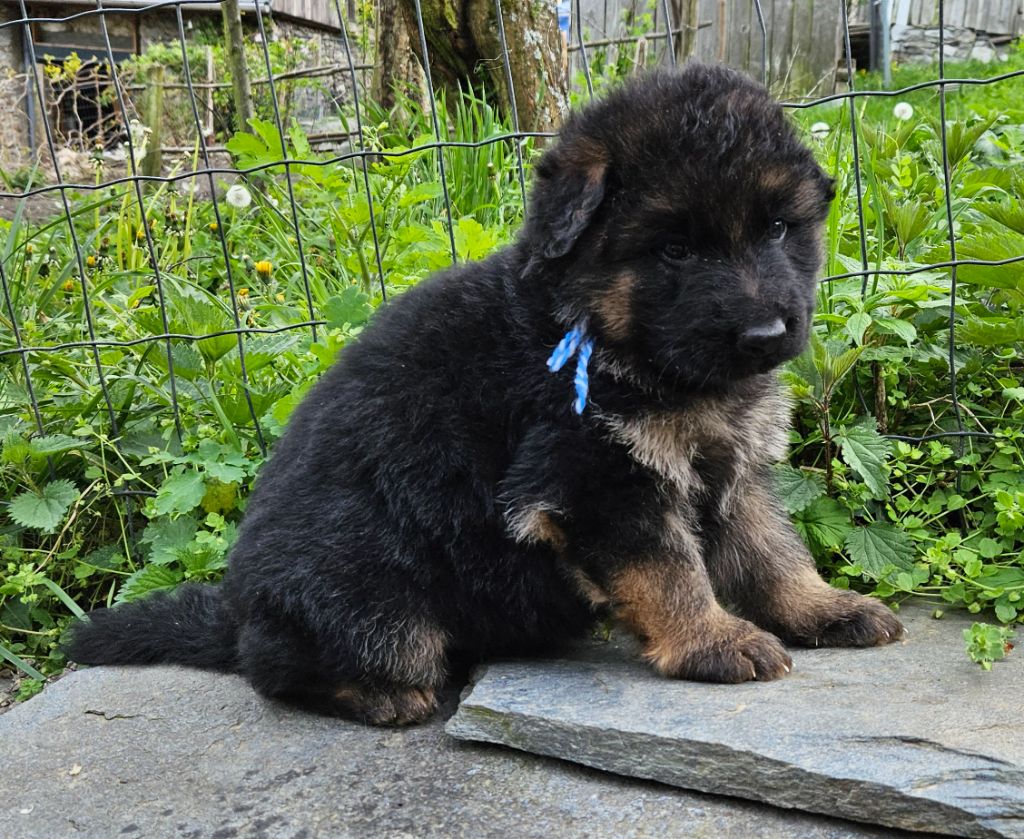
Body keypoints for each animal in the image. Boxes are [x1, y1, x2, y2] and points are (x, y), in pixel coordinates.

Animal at [67, 64, 904, 725]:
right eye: (673, 249)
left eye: (778, 228)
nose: (766, 333)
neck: (596, 331)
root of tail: (235, 613)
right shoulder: (595, 478)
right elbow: (669, 571)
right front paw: (713, 640)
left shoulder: (735, 471)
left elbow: (772, 553)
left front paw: (824, 607)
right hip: (372, 597)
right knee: (277, 665)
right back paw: (381, 694)